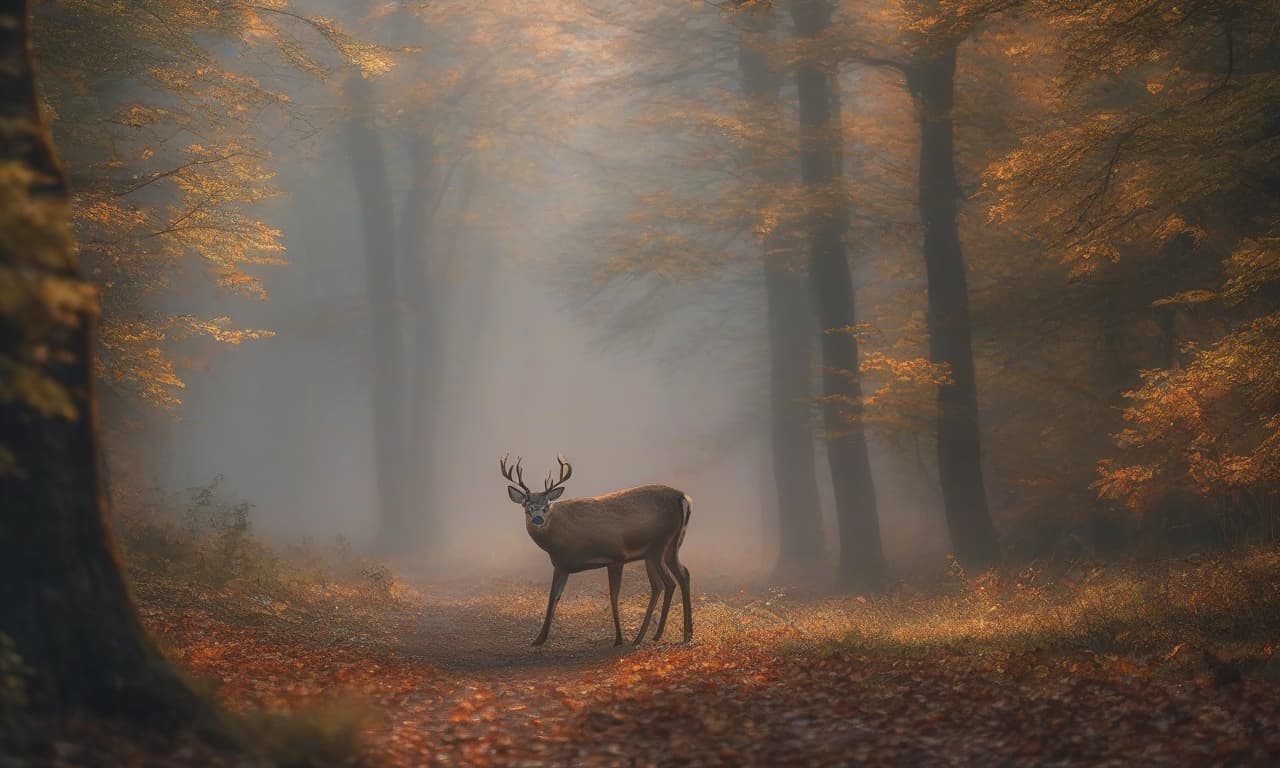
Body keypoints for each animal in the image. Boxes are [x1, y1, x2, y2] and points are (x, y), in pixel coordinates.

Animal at [499, 455, 696, 647]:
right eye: (527, 506)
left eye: (547, 505)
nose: (538, 519)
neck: (562, 542)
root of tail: (682, 497)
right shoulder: (561, 565)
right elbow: (553, 597)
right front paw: (539, 639)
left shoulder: (615, 556)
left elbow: (613, 596)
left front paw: (618, 638)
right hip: (668, 547)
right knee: (677, 576)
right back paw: (671, 635)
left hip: (659, 545)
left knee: (669, 582)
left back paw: (660, 635)